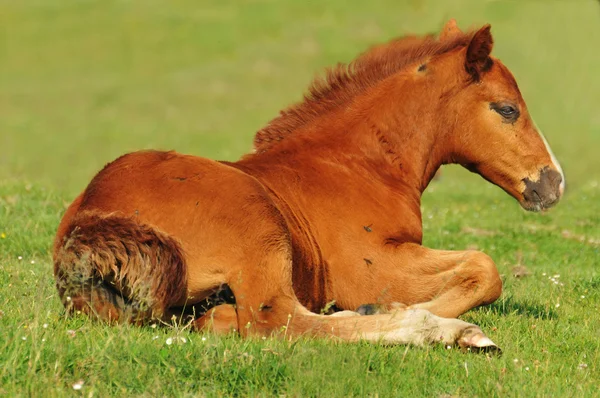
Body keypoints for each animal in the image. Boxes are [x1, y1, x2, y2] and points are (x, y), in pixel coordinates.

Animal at [52, 21, 564, 352]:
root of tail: (91, 220)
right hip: (258, 227)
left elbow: (477, 266)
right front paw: (417, 311)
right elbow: (485, 267)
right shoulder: (369, 267)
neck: (356, 164)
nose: (553, 183)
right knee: (276, 322)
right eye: (507, 109)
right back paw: (441, 330)